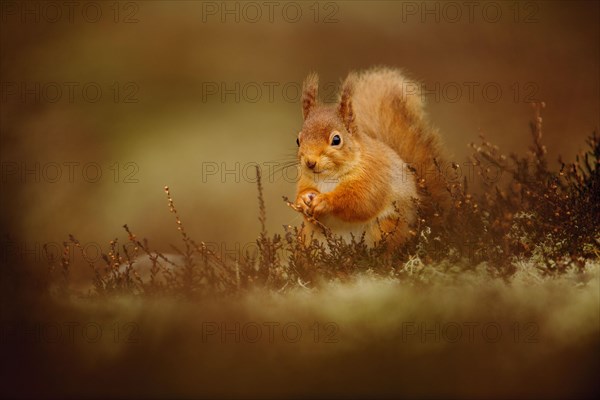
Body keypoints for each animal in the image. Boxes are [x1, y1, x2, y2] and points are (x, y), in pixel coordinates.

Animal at [292, 67, 448, 245]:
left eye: (336, 140)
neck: (328, 177)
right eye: (298, 140)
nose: (310, 162)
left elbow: (361, 201)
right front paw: (302, 200)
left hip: (386, 229)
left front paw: (325, 200)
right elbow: (304, 194)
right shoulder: (305, 179)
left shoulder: (373, 176)